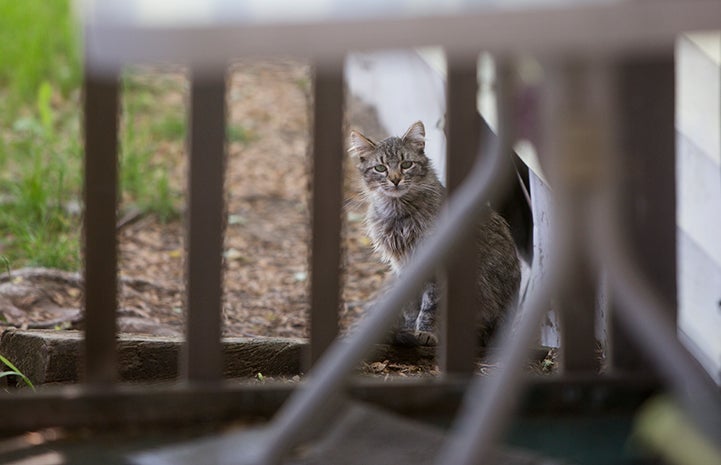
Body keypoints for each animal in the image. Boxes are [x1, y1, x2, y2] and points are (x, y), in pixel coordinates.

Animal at [348, 119, 516, 344]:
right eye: (380, 168)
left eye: (406, 164)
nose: (395, 180)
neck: (399, 213)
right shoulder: (403, 266)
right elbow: (412, 306)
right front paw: (411, 329)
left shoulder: (435, 265)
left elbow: (429, 306)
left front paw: (426, 332)